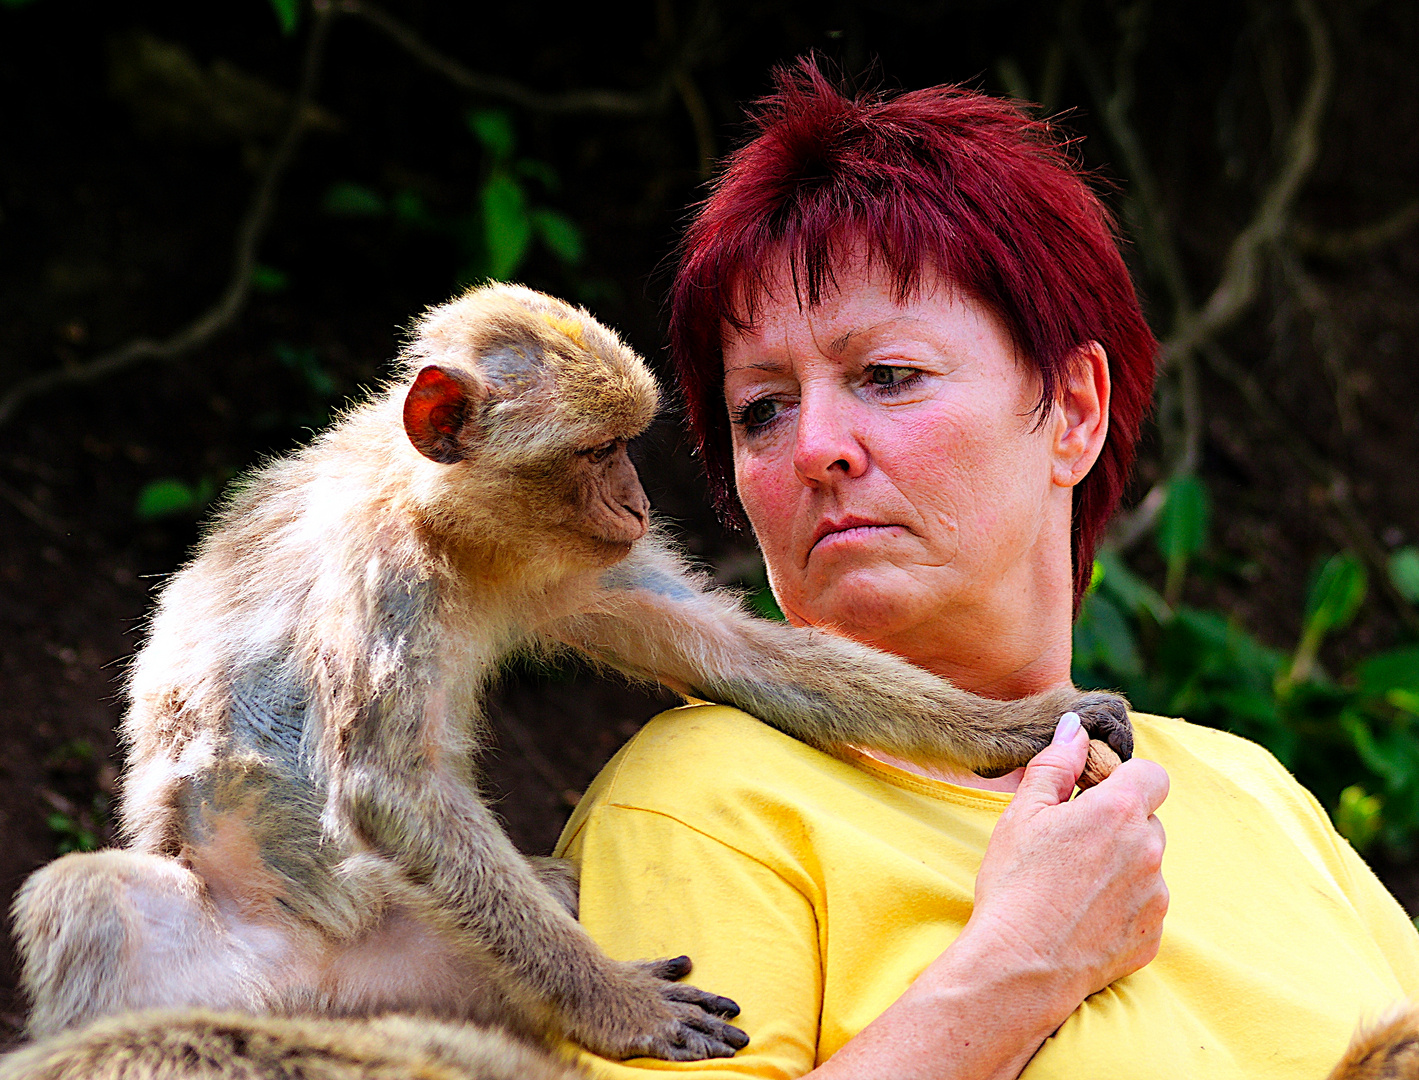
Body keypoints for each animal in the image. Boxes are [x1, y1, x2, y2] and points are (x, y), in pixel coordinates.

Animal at [5, 279, 1123, 1061]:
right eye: (596, 452)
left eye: (629, 446)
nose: (636, 498)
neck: (455, 531)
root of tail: (300, 989)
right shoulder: (382, 566)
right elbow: (387, 787)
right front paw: (619, 1006)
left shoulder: (572, 565)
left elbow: (739, 654)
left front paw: (1018, 726)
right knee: (85, 897)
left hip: (417, 975)